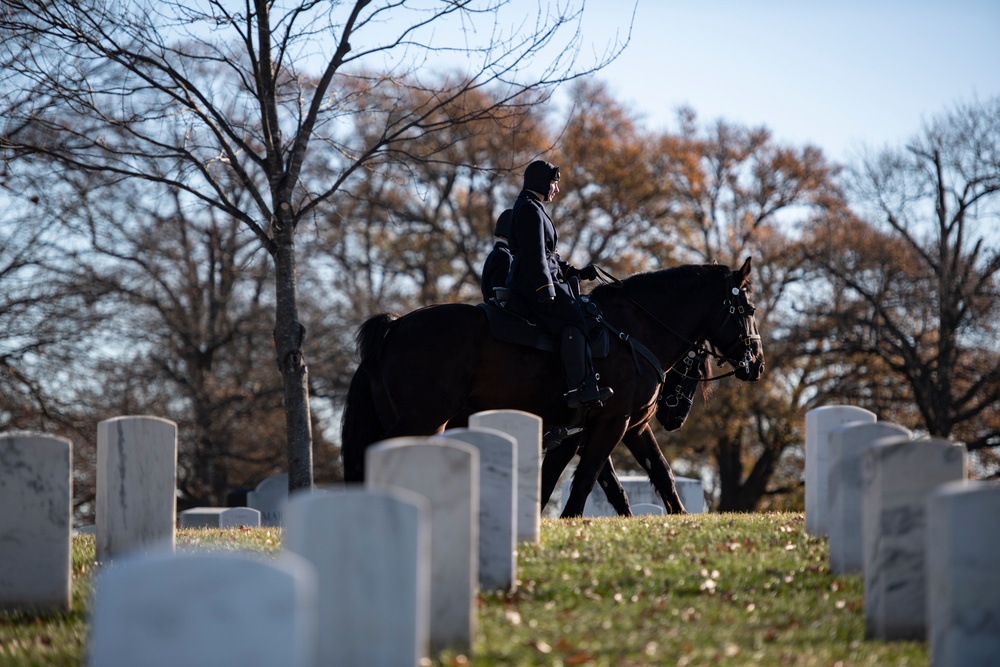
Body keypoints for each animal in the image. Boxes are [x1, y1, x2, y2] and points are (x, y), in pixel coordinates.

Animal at [540, 344, 712, 516]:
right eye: (696, 372)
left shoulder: (621, 430)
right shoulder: (575, 440)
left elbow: (645, 475)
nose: (678, 419)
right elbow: (550, 481)